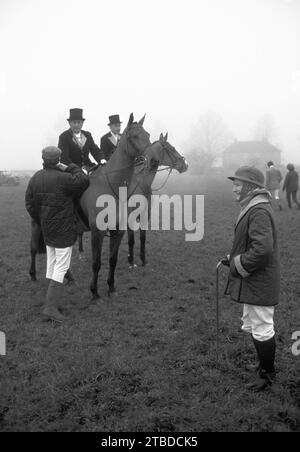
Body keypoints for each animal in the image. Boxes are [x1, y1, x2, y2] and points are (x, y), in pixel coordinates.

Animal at [126, 132, 188, 266]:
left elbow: (142, 238)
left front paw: (143, 259)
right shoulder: (130, 215)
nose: (185, 165)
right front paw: (131, 261)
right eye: (172, 148)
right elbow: (131, 239)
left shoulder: (145, 215)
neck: (139, 183)